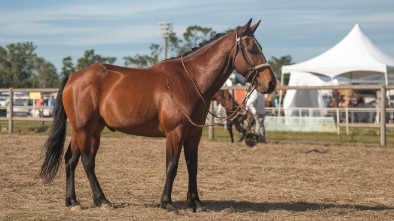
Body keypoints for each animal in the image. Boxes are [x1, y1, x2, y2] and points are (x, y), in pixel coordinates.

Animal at [38, 19, 276, 212]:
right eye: (252, 50)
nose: (271, 83)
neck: (189, 80)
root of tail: (73, 76)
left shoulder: (193, 135)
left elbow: (192, 167)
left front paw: (195, 202)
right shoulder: (175, 133)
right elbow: (172, 166)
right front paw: (167, 203)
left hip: (90, 130)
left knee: (71, 159)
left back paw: (73, 201)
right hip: (84, 129)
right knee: (87, 161)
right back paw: (102, 200)